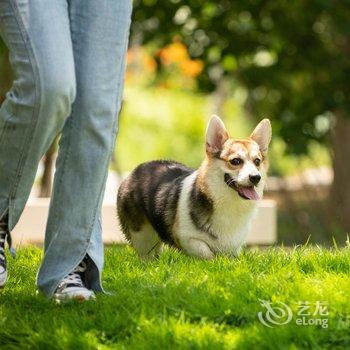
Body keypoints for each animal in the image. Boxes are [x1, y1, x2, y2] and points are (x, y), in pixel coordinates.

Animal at [117, 115, 270, 260]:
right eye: (236, 161)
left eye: (257, 161)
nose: (255, 177)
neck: (228, 203)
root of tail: (136, 170)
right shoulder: (185, 237)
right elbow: (206, 252)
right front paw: (213, 262)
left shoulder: (234, 247)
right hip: (142, 236)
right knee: (146, 255)